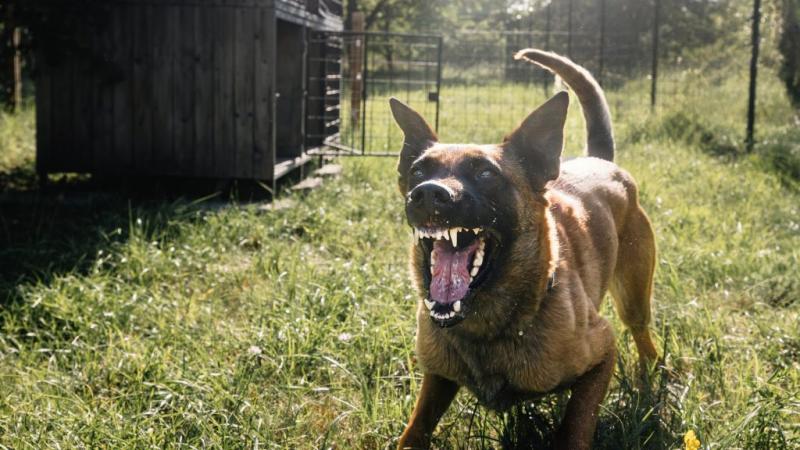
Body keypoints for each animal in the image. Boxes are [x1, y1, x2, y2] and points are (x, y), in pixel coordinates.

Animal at [390, 49, 660, 450]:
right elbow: (415, 429)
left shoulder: (602, 351)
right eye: (419, 171)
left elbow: (576, 426)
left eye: (486, 173)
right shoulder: (437, 379)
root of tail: (602, 161)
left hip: (634, 300)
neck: (489, 329)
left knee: (646, 342)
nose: (427, 194)